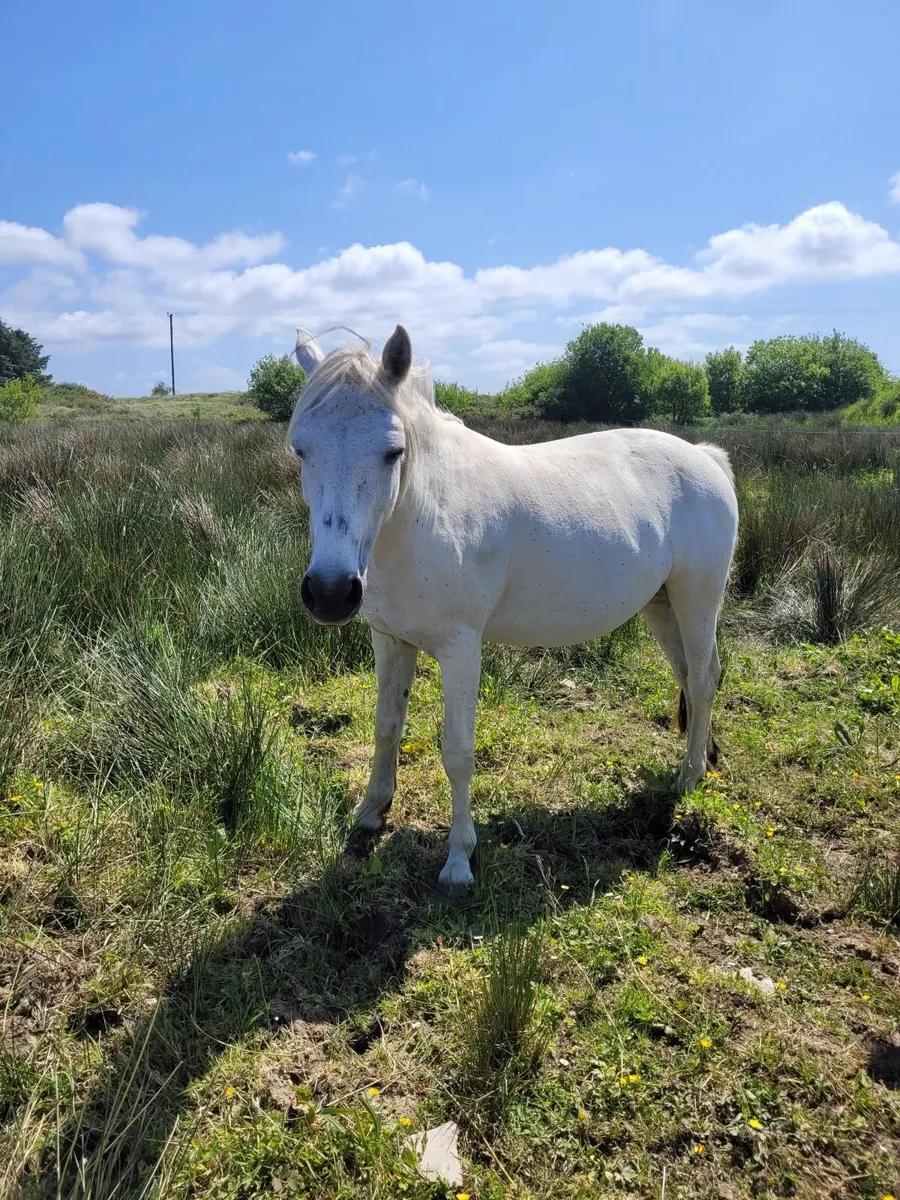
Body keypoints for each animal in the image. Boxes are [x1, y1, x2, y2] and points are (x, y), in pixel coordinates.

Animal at [289, 325, 739, 889]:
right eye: (300, 449)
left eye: (393, 452)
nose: (330, 591)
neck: (423, 514)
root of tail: (704, 456)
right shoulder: (390, 640)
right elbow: (387, 724)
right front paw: (371, 812)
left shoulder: (461, 649)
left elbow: (458, 753)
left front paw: (459, 860)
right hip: (663, 605)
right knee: (693, 676)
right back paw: (704, 757)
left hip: (697, 600)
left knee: (701, 681)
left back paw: (689, 776)